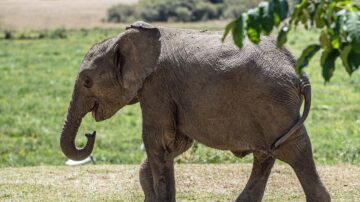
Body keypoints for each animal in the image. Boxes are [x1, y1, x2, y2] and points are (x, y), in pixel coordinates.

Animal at [60, 21, 330, 201]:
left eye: (87, 82)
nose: (89, 134)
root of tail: (296, 68)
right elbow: (176, 143)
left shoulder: (157, 87)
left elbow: (159, 140)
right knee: (267, 154)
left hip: (273, 101)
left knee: (295, 150)